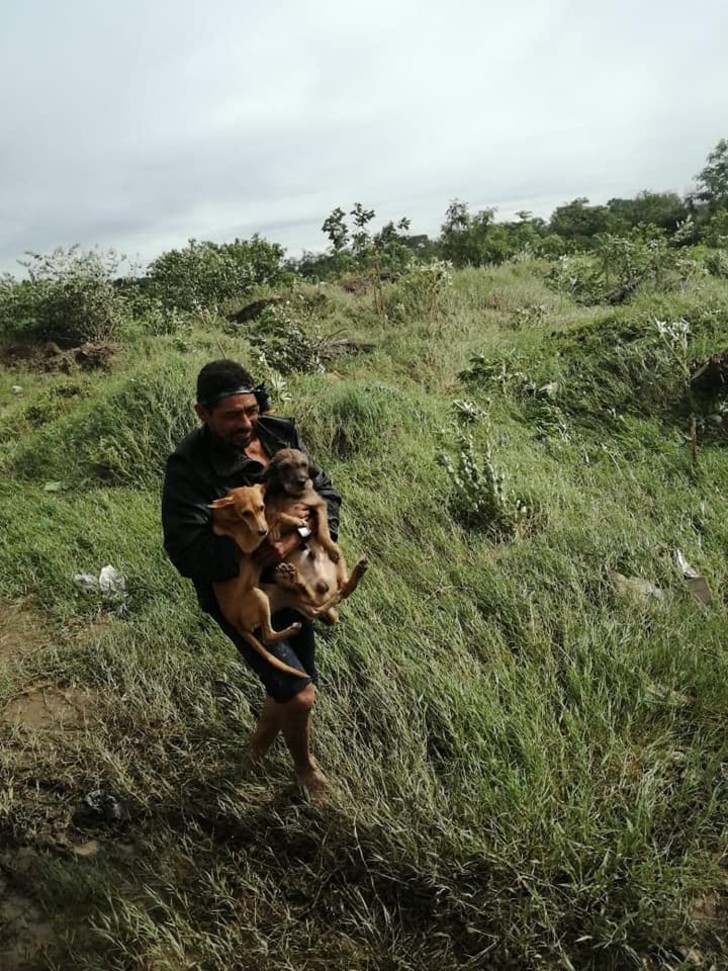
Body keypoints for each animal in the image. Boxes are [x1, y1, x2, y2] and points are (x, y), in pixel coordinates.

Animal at [208, 484, 304, 680]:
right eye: (246, 513)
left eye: (261, 507)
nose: (262, 531)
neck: (229, 515)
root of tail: (236, 624)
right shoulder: (249, 541)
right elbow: (275, 515)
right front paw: (296, 520)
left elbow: (272, 517)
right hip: (259, 596)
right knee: (267, 637)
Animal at [262, 448, 370, 624]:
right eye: (285, 467)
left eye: (303, 465)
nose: (302, 481)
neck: (291, 495)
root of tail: (326, 593)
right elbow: (275, 513)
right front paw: (277, 528)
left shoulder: (319, 505)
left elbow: (322, 531)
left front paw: (328, 546)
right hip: (277, 577)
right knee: (307, 594)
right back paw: (293, 576)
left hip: (340, 565)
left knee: (345, 587)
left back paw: (358, 569)